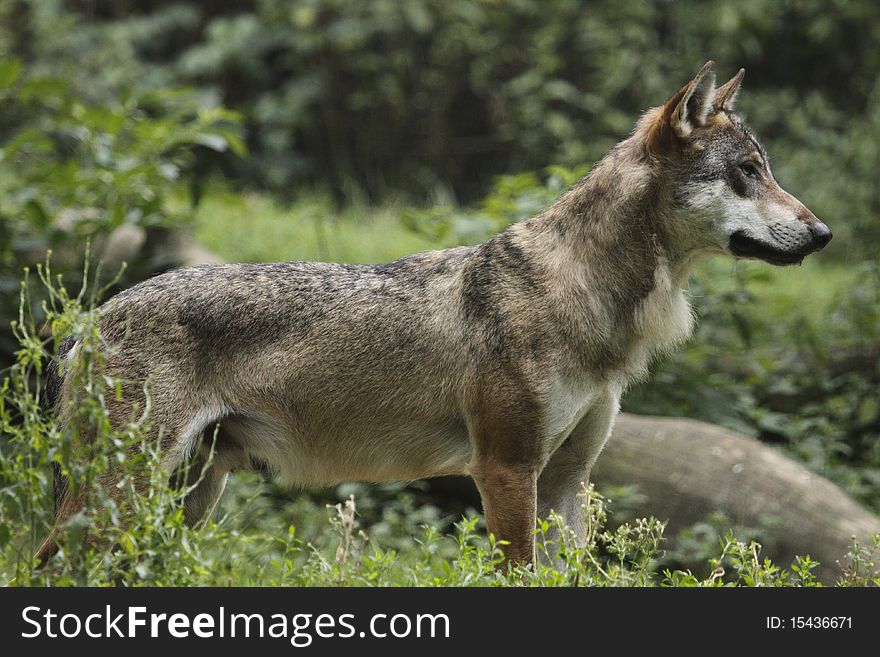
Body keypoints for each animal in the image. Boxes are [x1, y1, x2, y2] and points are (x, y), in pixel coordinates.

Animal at [34, 60, 832, 564]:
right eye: (748, 172)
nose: (823, 233)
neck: (584, 296)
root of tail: (89, 319)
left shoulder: (567, 483)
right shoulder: (505, 470)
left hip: (185, 499)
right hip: (120, 494)